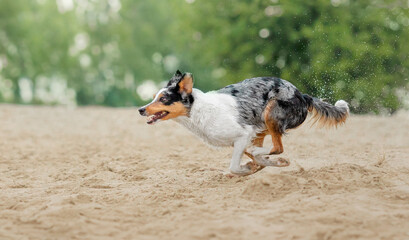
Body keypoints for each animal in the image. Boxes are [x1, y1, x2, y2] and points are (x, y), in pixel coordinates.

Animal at [137, 70, 348, 175]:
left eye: (163, 99)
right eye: (155, 97)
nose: (141, 109)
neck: (198, 110)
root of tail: (303, 95)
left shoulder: (242, 134)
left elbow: (234, 168)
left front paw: (246, 168)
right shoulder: (243, 137)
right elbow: (252, 161)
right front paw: (259, 166)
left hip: (270, 113)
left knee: (277, 147)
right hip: (261, 126)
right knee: (268, 149)